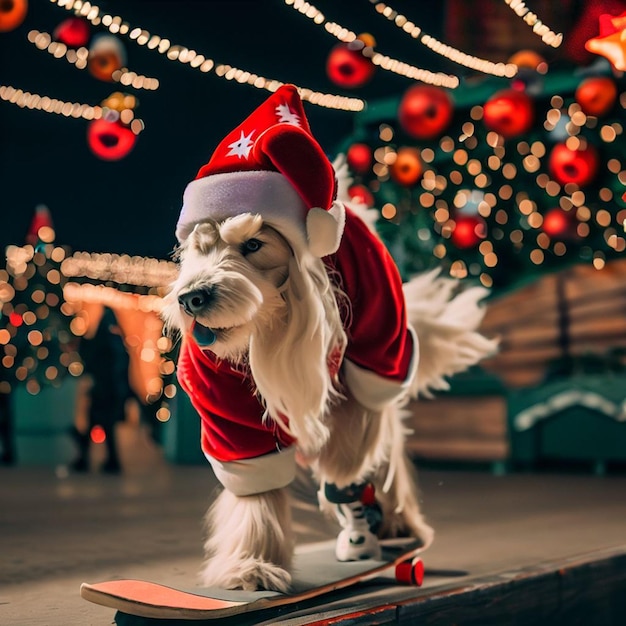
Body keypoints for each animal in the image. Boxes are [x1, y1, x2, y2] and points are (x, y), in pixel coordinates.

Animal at [161, 84, 498, 588]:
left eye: (254, 244)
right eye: (196, 249)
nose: (191, 298)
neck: (275, 319)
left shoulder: (367, 357)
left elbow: (352, 446)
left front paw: (345, 479)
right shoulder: (224, 405)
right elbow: (254, 493)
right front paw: (251, 564)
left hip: (383, 349)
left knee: (381, 438)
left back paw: (389, 522)